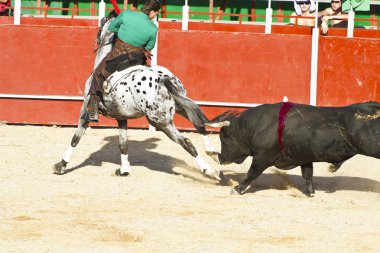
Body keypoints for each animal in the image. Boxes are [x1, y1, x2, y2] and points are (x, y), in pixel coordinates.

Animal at [208, 101, 380, 196]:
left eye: (224, 138)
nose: (221, 158)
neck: (256, 126)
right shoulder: (305, 157)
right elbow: (308, 175)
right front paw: (310, 193)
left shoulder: (262, 157)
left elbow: (252, 174)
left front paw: (237, 189)